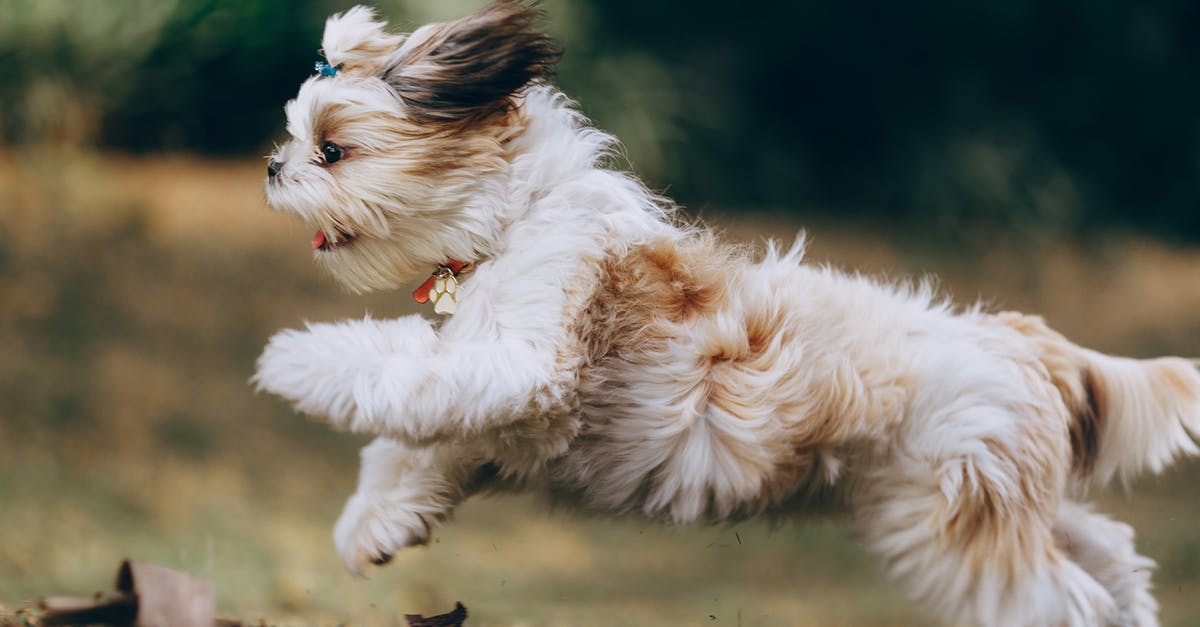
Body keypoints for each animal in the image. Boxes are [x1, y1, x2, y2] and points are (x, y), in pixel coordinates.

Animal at [248, 2, 1195, 619]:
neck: (518, 218)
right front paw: (373, 526)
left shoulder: (525, 364)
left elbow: (398, 368)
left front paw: (293, 359)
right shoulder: (496, 415)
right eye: (302, 141)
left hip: (958, 527)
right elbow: (410, 441)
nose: (272, 167)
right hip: (986, 493)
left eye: (333, 150)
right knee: (1104, 545)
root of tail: (1021, 340)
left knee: (1066, 596)